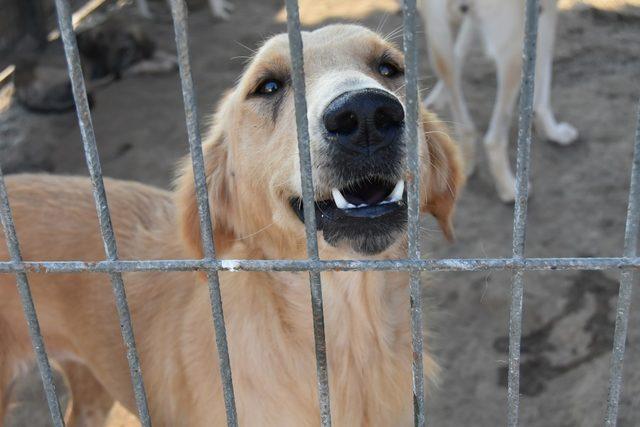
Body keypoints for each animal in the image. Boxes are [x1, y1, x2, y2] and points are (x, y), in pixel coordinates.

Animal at [422, 0, 576, 202]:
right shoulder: (545, 14)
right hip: (515, 51)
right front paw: (552, 130)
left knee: (450, 77)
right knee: (493, 139)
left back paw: (465, 157)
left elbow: (460, 49)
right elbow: (544, 74)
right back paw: (509, 188)